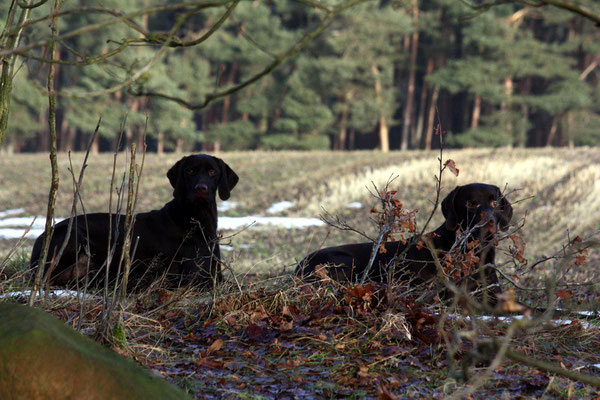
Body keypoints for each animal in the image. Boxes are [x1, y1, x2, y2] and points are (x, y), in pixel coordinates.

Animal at [29, 154, 238, 290]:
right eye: (190, 170)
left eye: (212, 171)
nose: (201, 188)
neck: (197, 219)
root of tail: (40, 238)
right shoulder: (195, 278)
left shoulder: (215, 274)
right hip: (74, 235)